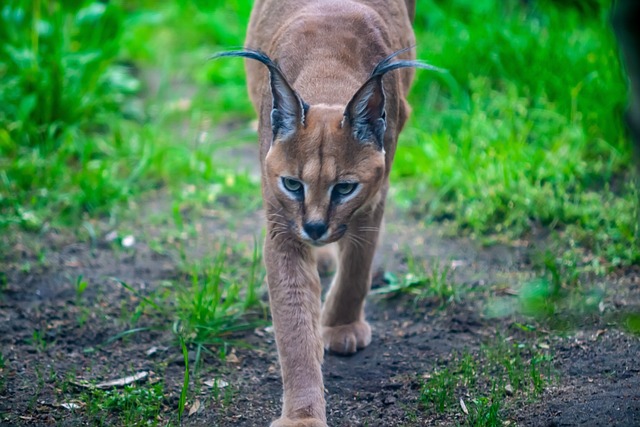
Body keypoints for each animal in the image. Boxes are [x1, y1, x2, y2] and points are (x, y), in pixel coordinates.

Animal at [215, 0, 436, 427]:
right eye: (292, 184)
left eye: (344, 188)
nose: (315, 227)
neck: (327, 77)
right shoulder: (282, 226)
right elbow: (294, 322)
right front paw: (302, 416)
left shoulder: (373, 198)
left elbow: (357, 267)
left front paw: (340, 324)